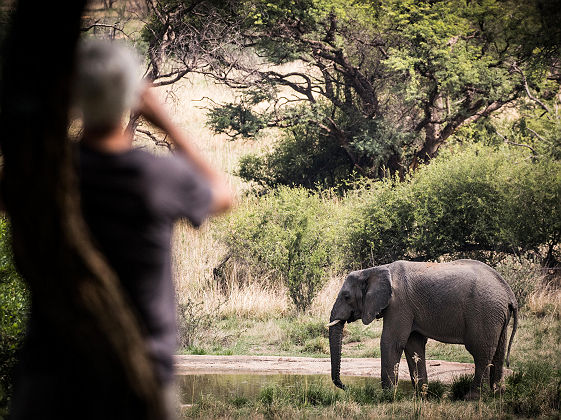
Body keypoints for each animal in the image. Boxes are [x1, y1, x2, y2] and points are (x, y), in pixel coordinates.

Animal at [328, 260, 516, 394]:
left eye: (346, 296)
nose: (346, 387)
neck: (375, 269)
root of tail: (509, 293)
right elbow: (413, 345)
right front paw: (422, 394)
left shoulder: (399, 305)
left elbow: (392, 342)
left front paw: (386, 396)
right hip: (497, 315)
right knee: (499, 351)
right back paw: (497, 394)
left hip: (485, 312)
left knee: (481, 352)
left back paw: (473, 397)